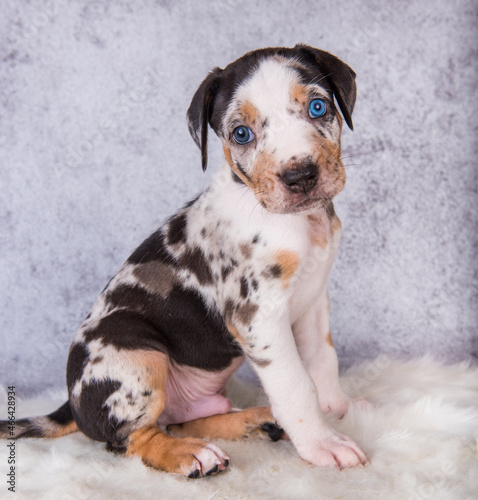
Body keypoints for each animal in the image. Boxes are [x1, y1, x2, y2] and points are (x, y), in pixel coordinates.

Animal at [0, 46, 368, 476]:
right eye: (241, 133)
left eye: (317, 107)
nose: (300, 176)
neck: (299, 224)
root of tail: (70, 405)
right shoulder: (258, 317)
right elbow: (296, 385)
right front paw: (323, 444)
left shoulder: (313, 299)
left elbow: (323, 361)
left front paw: (339, 409)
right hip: (136, 352)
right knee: (133, 439)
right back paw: (191, 454)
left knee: (182, 420)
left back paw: (255, 421)